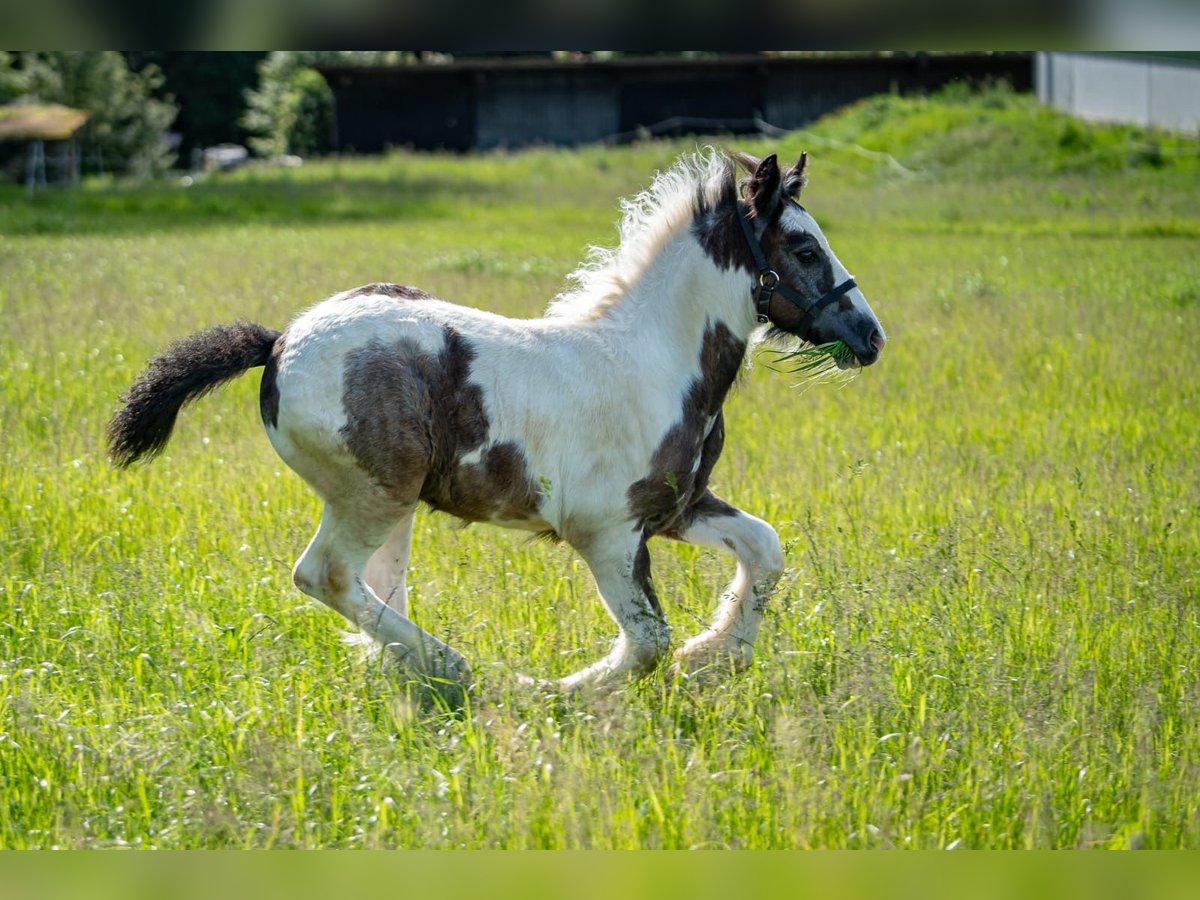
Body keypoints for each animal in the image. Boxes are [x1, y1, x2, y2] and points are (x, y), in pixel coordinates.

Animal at [108, 148, 888, 696]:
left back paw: (418, 678)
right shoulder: (608, 533)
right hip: (371, 496)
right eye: (806, 248)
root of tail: (277, 342)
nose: (871, 335)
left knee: (371, 588)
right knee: (324, 575)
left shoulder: (677, 508)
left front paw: (714, 658)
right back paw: (464, 674)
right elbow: (644, 644)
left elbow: (764, 550)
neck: (655, 360)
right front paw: (557, 693)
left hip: (394, 507)